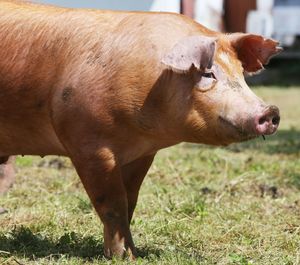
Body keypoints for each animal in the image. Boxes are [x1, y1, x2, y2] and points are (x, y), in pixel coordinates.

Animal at [0, 0, 282, 258]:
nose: (271, 111)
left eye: (241, 75)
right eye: (208, 74)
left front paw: (132, 253)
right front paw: (122, 256)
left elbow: (130, 201)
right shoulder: (88, 144)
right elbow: (111, 203)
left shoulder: (143, 153)